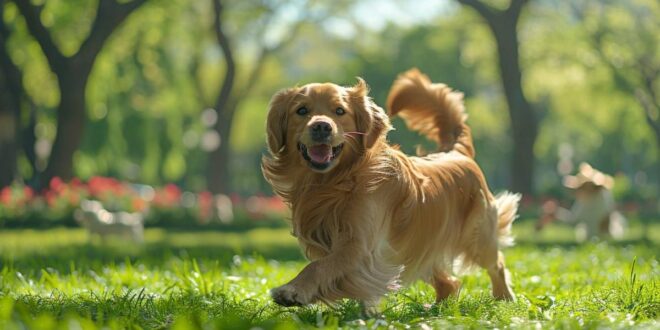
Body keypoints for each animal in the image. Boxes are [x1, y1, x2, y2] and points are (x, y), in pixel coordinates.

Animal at [260, 69, 520, 312]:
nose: (321, 126)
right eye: (302, 110)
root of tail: (454, 151)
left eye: (340, 111)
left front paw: (293, 290)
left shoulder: (359, 245)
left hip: (479, 236)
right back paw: (435, 309)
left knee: (496, 264)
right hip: (421, 245)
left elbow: (319, 267)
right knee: (450, 283)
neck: (336, 182)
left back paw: (504, 298)